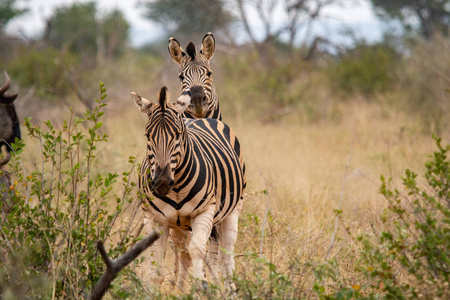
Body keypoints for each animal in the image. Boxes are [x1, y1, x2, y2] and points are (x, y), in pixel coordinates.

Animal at [131, 86, 246, 290]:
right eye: (148, 136)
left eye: (177, 135)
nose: (161, 182)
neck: (176, 189)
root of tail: (200, 117)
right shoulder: (154, 218)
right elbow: (156, 267)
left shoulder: (204, 212)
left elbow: (198, 250)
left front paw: (201, 286)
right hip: (178, 225)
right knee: (184, 252)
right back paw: (181, 289)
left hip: (233, 211)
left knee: (226, 256)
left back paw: (229, 289)